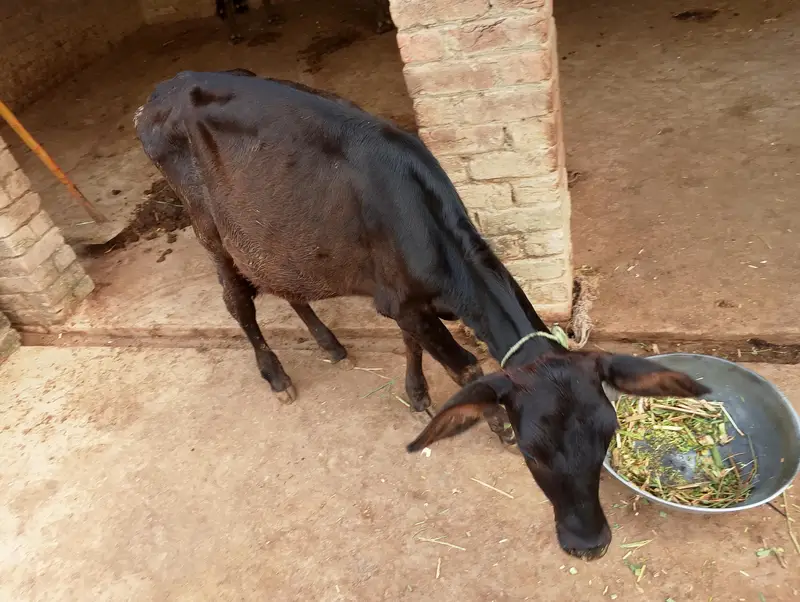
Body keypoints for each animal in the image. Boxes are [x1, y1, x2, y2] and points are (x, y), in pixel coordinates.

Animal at [134, 70, 709, 559]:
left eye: (607, 435)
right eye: (531, 452)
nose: (588, 544)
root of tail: (162, 91)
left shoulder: (402, 302)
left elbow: (413, 345)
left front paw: (416, 393)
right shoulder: (404, 302)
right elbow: (466, 367)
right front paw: (489, 423)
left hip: (271, 237)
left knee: (286, 286)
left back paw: (329, 343)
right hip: (209, 228)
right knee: (238, 303)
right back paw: (276, 375)